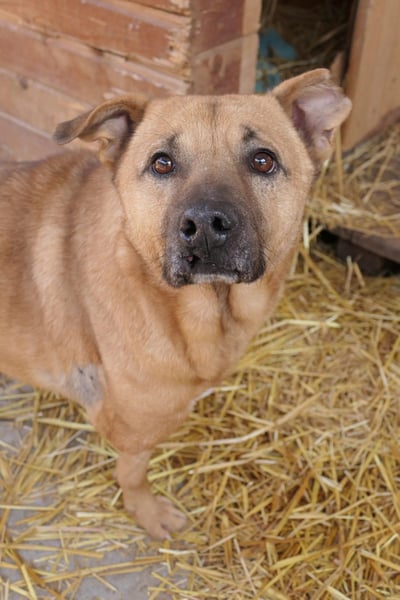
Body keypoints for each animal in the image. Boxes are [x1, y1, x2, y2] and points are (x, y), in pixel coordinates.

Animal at [0, 69, 351, 539]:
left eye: (263, 160)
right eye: (161, 163)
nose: (205, 225)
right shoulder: (133, 428)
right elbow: (132, 473)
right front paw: (147, 512)